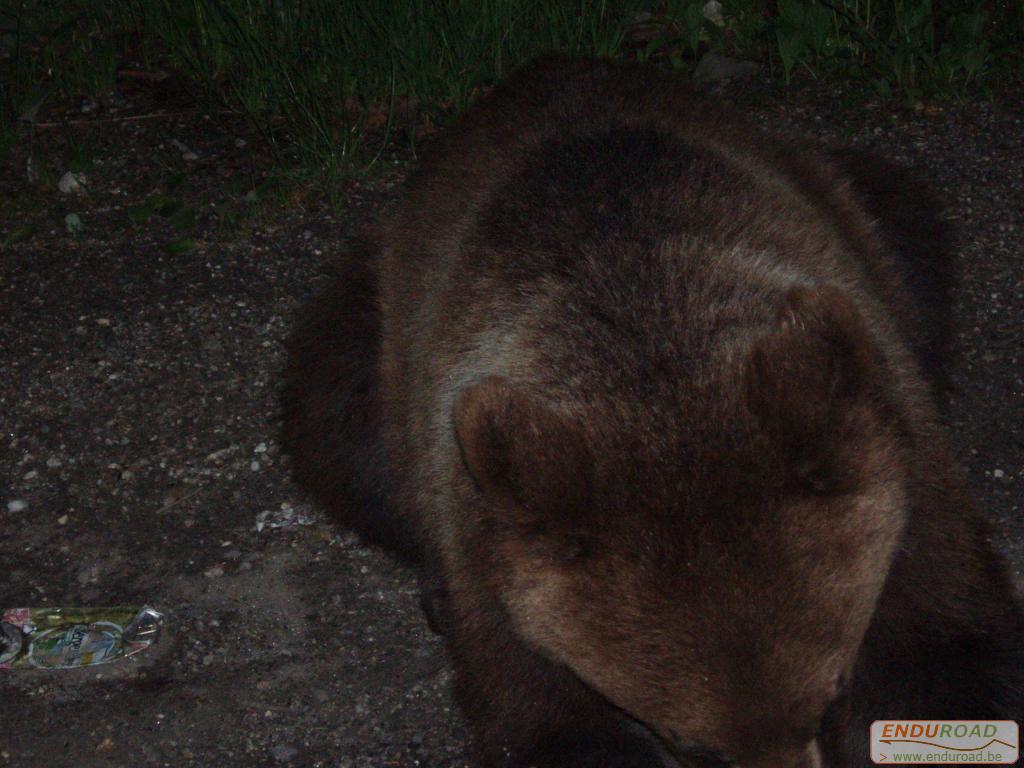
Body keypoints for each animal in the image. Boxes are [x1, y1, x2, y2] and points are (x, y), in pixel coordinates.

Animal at [282, 57, 1024, 765]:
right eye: (690, 743)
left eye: (828, 698)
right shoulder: (490, 548)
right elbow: (554, 722)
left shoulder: (892, 449)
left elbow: (938, 647)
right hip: (374, 339)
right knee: (344, 431)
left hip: (863, 212)